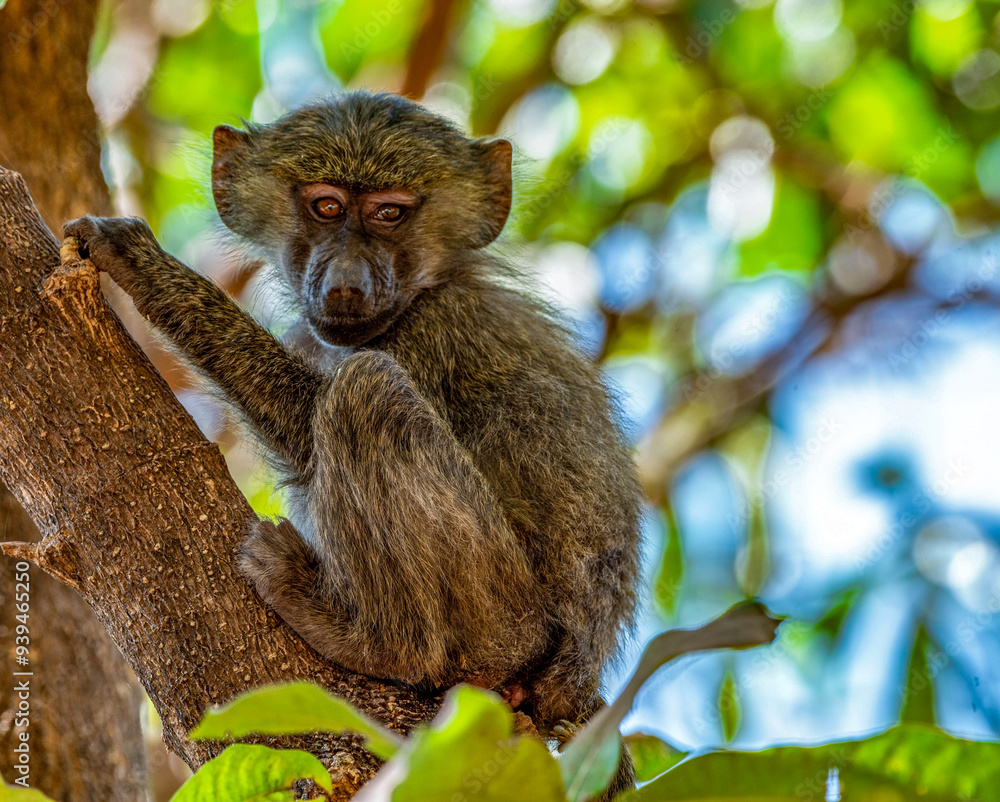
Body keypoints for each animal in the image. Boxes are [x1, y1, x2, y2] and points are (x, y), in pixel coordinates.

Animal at [64, 91, 643, 797]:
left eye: (391, 213)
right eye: (327, 207)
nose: (345, 285)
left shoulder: (438, 330)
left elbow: (311, 414)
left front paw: (145, 267)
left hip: (504, 617)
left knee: (363, 391)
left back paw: (375, 641)